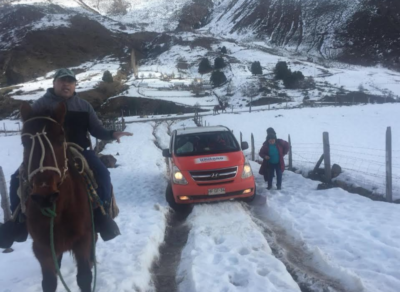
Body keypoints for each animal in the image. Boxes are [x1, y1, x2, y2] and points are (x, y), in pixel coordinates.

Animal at [20, 102, 94, 292]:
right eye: (24, 142)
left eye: (61, 140)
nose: (44, 196)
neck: (59, 211)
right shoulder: (42, 248)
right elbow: (49, 282)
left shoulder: (83, 241)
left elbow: (84, 278)